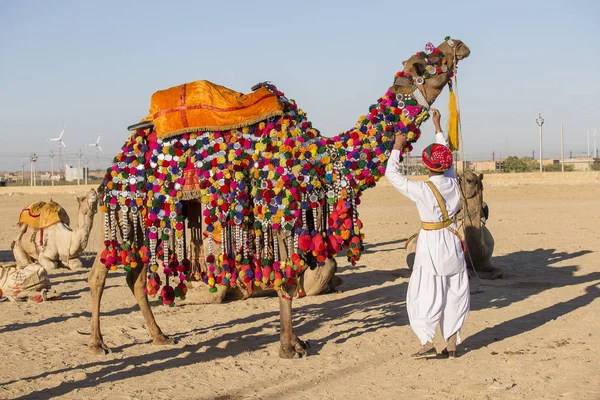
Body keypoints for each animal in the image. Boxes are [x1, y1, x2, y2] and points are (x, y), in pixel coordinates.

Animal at [89, 37, 472, 358]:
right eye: (428, 59)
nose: (457, 43)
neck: (325, 158)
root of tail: (120, 157)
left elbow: (292, 274)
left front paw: (296, 341)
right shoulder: (284, 210)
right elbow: (288, 277)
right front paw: (291, 347)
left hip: (151, 214)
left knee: (136, 277)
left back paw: (159, 337)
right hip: (131, 202)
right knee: (101, 272)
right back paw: (98, 344)